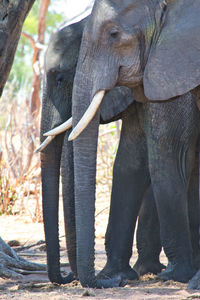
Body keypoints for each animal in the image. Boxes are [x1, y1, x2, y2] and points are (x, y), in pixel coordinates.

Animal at [49, 0, 200, 288]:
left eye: (114, 35)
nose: (69, 276)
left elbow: (166, 157)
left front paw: (174, 276)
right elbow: (129, 164)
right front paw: (115, 275)